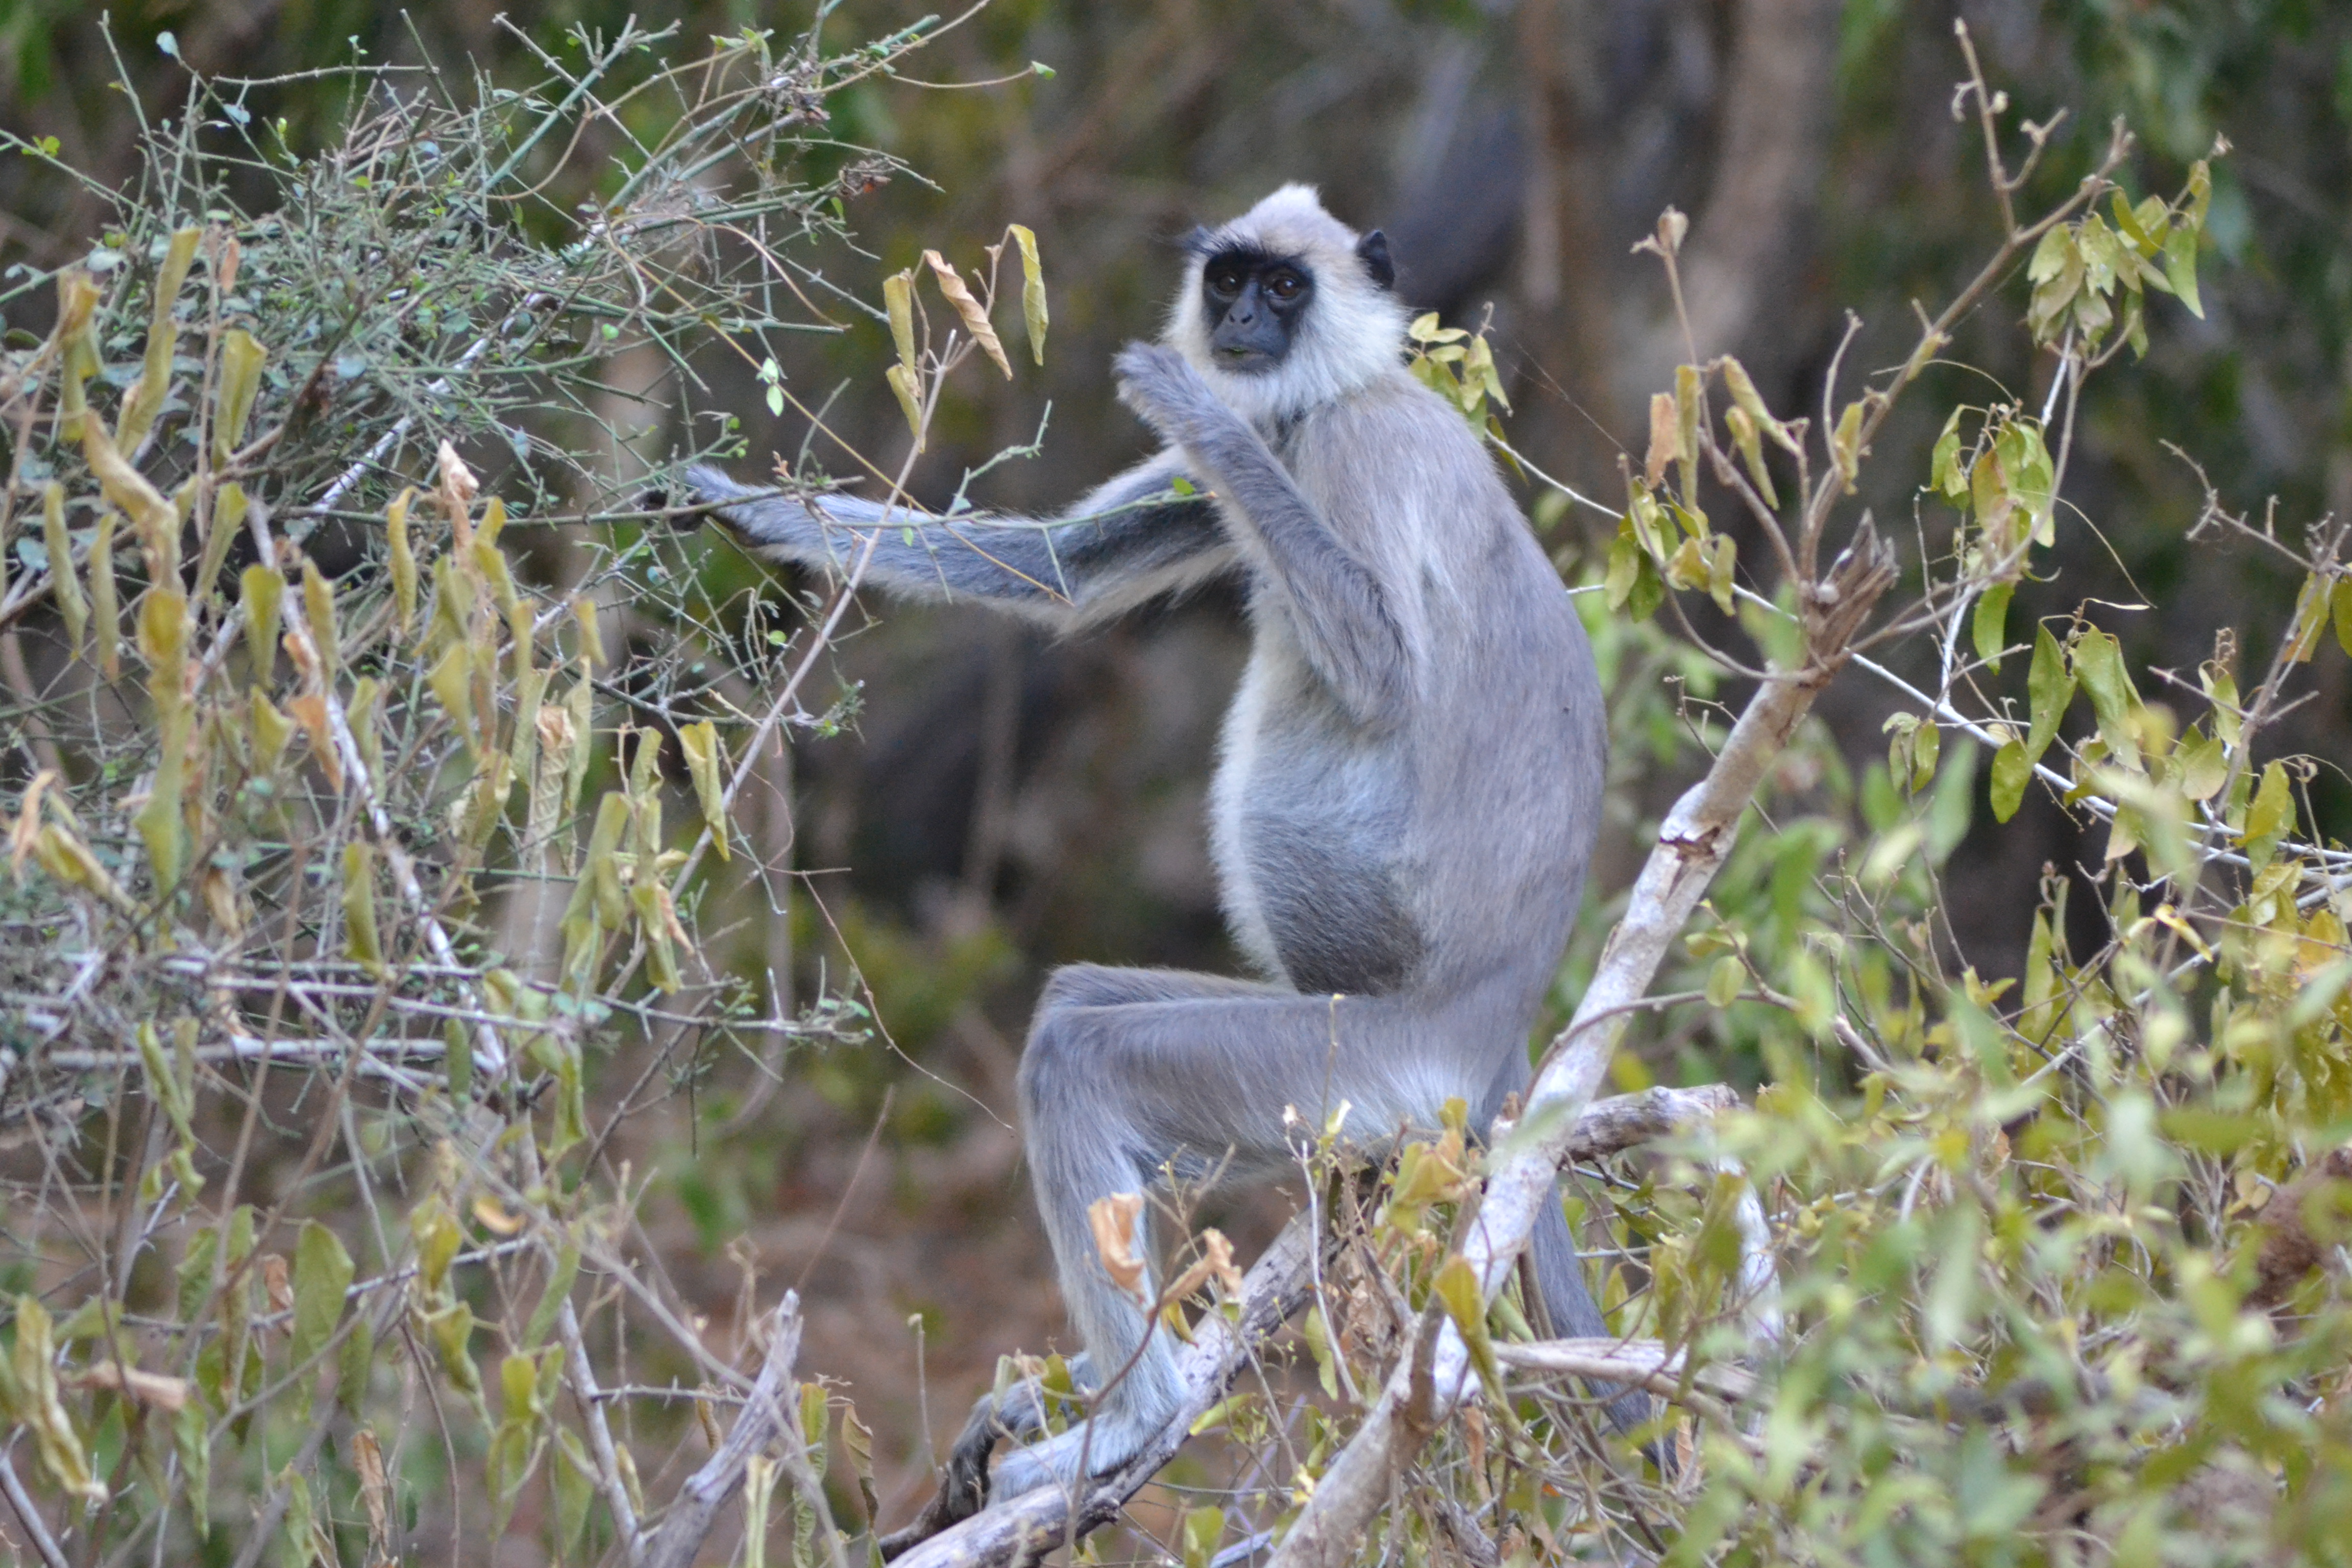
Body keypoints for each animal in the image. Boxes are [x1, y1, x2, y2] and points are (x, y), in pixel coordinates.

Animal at [682, 187, 1646, 1523]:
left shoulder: (1360, 446)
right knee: (1079, 1005)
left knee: (1085, 1054)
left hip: (1372, 1065)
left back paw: (1133, 1419)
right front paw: (754, 507)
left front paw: (1191, 404)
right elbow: (1057, 570)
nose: (1239, 323)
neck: (1322, 401)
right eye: (1230, 277)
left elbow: (1375, 667)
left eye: (1284, 288)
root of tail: (1501, 1025)